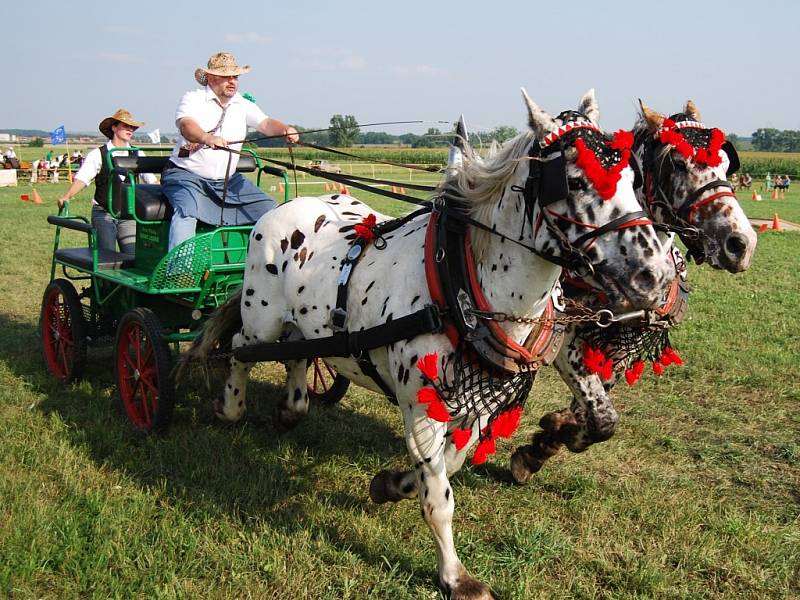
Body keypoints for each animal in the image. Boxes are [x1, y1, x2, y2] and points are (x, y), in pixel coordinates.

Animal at [186, 90, 676, 600]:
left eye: (633, 180)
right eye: (576, 181)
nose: (656, 275)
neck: (460, 277)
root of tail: (283, 209)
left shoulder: (480, 397)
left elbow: (452, 462)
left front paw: (391, 484)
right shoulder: (422, 407)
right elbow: (440, 496)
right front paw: (455, 576)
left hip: (305, 324)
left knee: (297, 352)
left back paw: (290, 408)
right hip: (260, 318)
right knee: (240, 349)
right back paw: (230, 407)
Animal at [510, 99, 760, 482]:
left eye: (725, 162)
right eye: (677, 163)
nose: (741, 244)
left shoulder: (620, 340)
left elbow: (597, 401)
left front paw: (554, 432)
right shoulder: (565, 336)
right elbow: (601, 417)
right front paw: (542, 445)